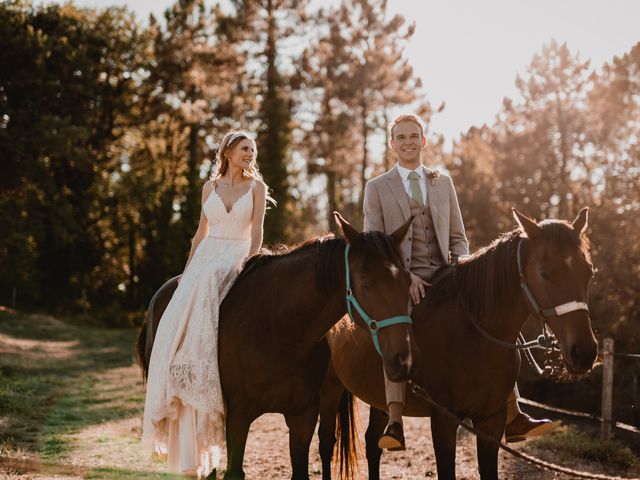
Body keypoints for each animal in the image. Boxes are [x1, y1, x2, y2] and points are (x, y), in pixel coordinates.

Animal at [318, 209, 596, 480]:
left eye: (588, 272)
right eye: (545, 273)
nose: (584, 352)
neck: (471, 334)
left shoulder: (491, 421)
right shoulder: (444, 420)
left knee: (373, 444)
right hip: (330, 388)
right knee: (326, 442)